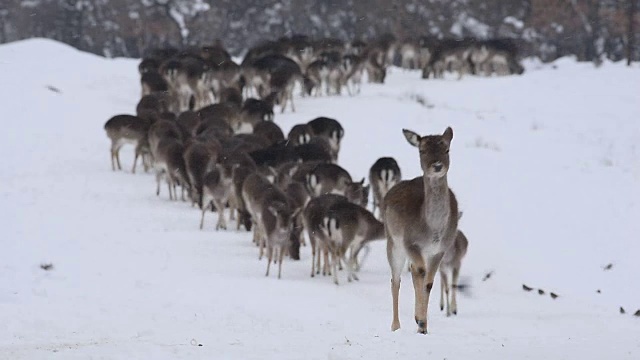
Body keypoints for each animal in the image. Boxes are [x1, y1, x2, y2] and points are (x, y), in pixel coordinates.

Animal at [384, 127, 460, 334]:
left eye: (447, 149)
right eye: (422, 150)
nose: (437, 166)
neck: (432, 230)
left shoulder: (440, 250)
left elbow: (428, 283)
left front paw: (422, 325)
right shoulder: (410, 243)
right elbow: (419, 271)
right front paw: (420, 322)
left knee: (413, 273)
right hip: (392, 242)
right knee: (395, 281)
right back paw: (395, 326)